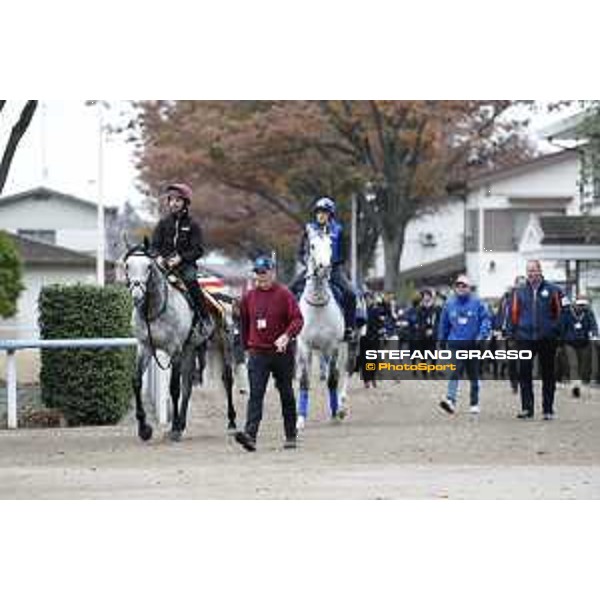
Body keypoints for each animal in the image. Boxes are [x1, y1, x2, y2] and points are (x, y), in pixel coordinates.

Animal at [296, 227, 350, 428]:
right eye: (311, 245)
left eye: (330, 244)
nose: (324, 267)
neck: (318, 305)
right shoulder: (304, 345)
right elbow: (304, 381)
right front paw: (300, 419)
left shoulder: (333, 345)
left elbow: (333, 380)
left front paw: (335, 414)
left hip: (346, 345)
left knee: (345, 371)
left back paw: (341, 407)